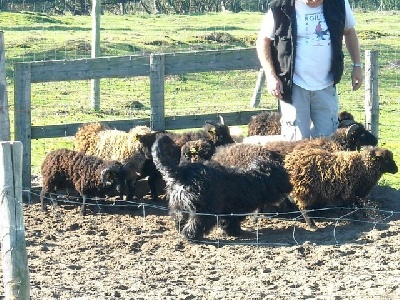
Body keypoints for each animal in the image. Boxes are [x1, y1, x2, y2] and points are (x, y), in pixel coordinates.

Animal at [152, 135, 292, 240]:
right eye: (284, 176)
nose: (290, 187)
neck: (257, 178)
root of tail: (182, 172)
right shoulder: (233, 209)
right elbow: (232, 221)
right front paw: (235, 232)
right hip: (204, 209)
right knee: (197, 223)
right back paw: (192, 236)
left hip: (178, 204)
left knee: (179, 219)